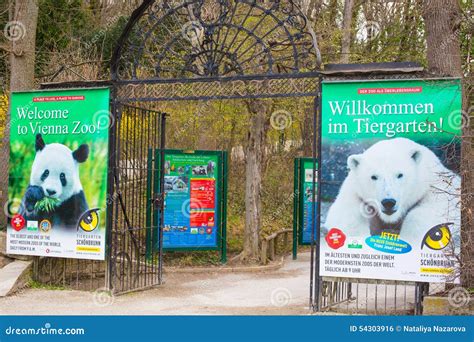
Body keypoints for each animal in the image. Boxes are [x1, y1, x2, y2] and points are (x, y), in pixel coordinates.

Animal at [324, 138, 462, 244]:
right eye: (374, 176)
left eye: (400, 175)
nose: (388, 202)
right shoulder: (354, 189)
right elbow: (346, 213)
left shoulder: (435, 184)